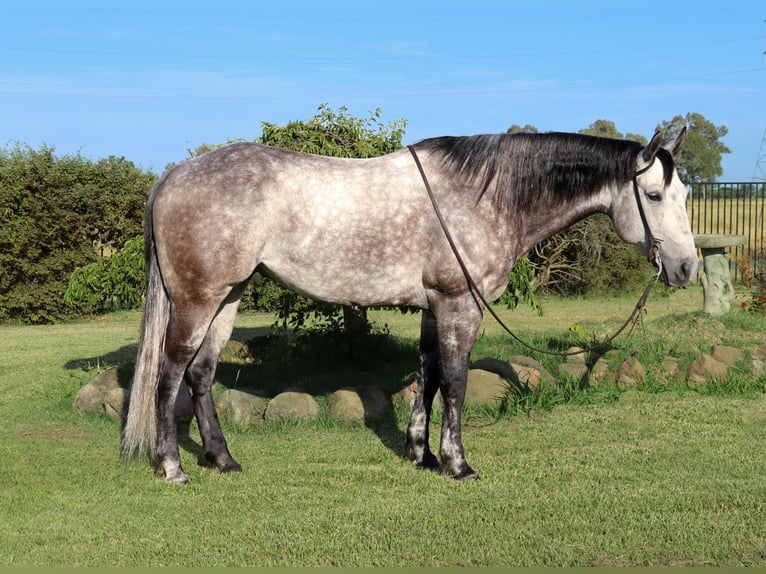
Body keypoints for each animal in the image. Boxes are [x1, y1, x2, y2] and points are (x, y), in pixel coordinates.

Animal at [122, 127, 697, 484]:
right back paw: (172, 467)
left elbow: (430, 375)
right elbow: (458, 382)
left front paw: (421, 454)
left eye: (686, 194)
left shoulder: (433, 306)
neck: (485, 195)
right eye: (653, 195)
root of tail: (170, 177)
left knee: (201, 374)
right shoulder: (461, 305)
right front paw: (458, 464)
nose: (687, 267)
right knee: (169, 376)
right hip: (197, 301)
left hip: (229, 295)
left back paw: (223, 459)